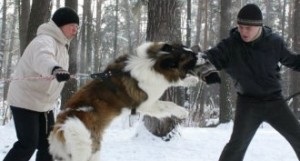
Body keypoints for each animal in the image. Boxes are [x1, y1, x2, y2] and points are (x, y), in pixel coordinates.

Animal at [48, 41, 199, 161]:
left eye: (187, 48)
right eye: (189, 56)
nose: (200, 53)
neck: (153, 62)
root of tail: (62, 124)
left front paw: (192, 80)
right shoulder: (146, 104)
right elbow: (168, 105)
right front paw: (183, 112)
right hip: (86, 147)